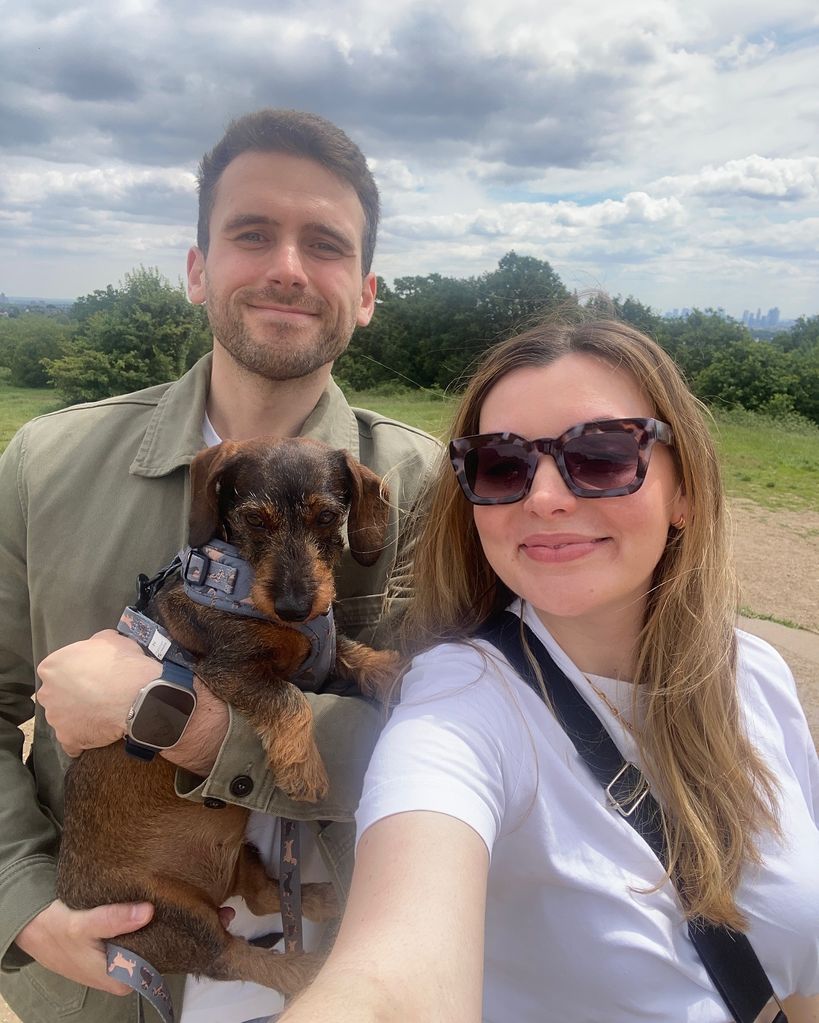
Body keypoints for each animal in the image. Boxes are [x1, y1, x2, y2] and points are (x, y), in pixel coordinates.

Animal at [56, 437, 398, 998]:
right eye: (254, 520)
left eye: (327, 516)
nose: (296, 606)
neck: (233, 580)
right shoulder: (229, 670)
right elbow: (289, 699)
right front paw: (302, 769)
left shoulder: (320, 653)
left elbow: (354, 654)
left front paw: (396, 671)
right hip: (168, 916)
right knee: (238, 959)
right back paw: (310, 970)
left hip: (244, 857)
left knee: (262, 897)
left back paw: (320, 899)